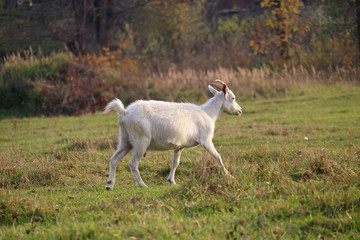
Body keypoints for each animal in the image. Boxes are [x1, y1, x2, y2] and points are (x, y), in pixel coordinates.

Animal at [103, 79, 242, 188]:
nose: (240, 111)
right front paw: (229, 176)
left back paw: (110, 184)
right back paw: (141, 184)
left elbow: (176, 162)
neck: (208, 113)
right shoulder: (206, 141)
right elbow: (218, 157)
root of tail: (124, 113)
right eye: (233, 98)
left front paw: (171, 181)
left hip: (125, 140)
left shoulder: (179, 146)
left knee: (114, 159)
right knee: (133, 163)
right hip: (140, 141)